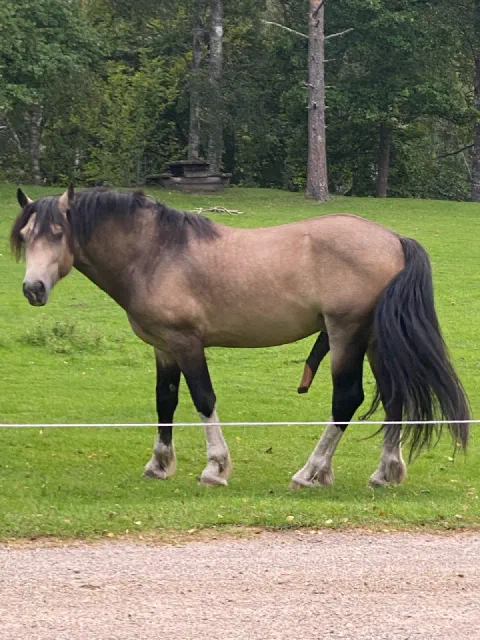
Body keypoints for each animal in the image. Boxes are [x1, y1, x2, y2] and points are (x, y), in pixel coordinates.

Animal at [10, 185, 469, 488]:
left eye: (57, 232)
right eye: (26, 236)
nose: (32, 289)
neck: (157, 253)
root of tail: (394, 239)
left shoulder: (187, 344)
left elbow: (203, 400)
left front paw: (215, 468)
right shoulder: (164, 348)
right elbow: (165, 402)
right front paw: (159, 465)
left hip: (346, 336)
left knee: (347, 400)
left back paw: (311, 472)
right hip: (373, 341)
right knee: (393, 399)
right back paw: (384, 473)